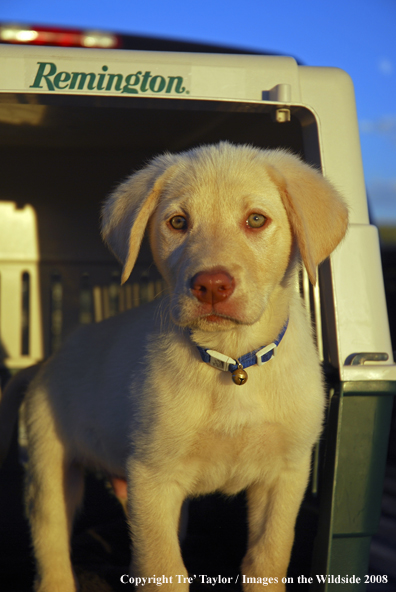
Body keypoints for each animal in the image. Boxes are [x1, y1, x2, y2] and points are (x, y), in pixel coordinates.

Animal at [8, 143, 346, 592]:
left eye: (256, 220)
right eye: (178, 222)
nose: (211, 286)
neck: (231, 364)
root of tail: (48, 361)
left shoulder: (285, 474)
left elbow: (267, 560)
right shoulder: (152, 476)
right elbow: (163, 569)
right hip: (51, 467)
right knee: (51, 541)